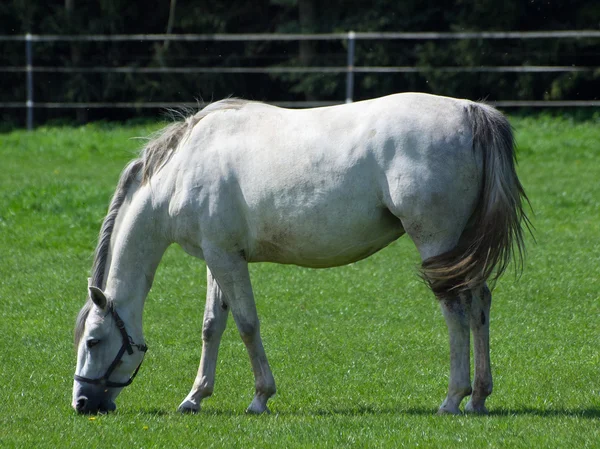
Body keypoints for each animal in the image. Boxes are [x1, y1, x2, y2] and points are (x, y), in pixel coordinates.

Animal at [72, 93, 528, 414]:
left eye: (94, 341)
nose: (81, 403)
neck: (182, 169)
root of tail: (470, 110)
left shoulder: (226, 259)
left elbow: (246, 324)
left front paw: (260, 396)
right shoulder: (217, 258)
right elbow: (211, 326)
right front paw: (195, 397)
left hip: (437, 243)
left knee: (456, 310)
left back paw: (453, 398)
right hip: (461, 249)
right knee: (480, 302)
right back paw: (479, 397)